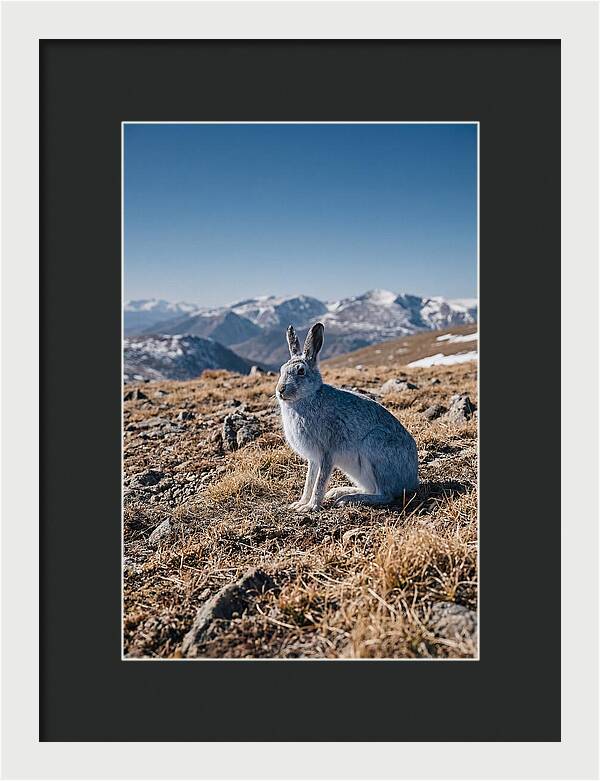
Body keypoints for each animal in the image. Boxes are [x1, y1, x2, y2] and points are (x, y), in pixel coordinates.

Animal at [276, 322, 419, 513]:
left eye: (301, 371)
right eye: (281, 369)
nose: (280, 390)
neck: (308, 397)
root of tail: (412, 481)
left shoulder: (327, 452)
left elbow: (319, 482)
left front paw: (311, 506)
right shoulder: (313, 459)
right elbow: (309, 481)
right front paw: (300, 503)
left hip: (375, 447)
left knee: (385, 494)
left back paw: (348, 499)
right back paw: (339, 492)